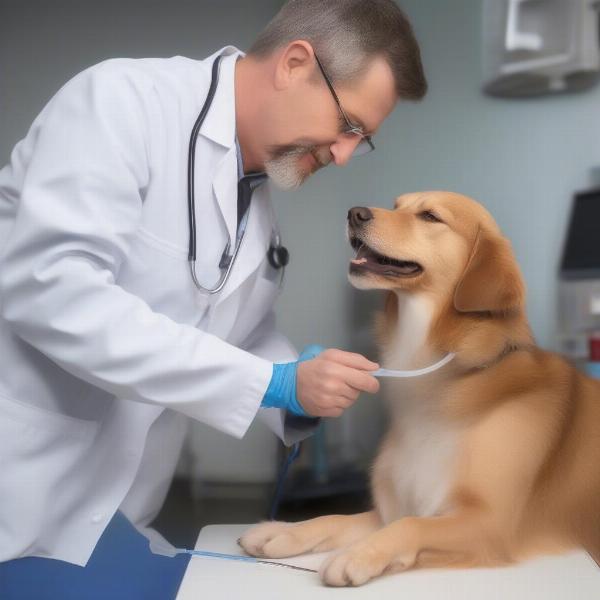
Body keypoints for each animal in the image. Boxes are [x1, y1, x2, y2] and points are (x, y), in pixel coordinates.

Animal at [239, 191, 600, 584]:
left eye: (429, 216)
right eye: (397, 206)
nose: (355, 213)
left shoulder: (490, 523)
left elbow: (412, 525)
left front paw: (357, 554)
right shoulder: (390, 509)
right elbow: (334, 518)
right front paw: (281, 530)